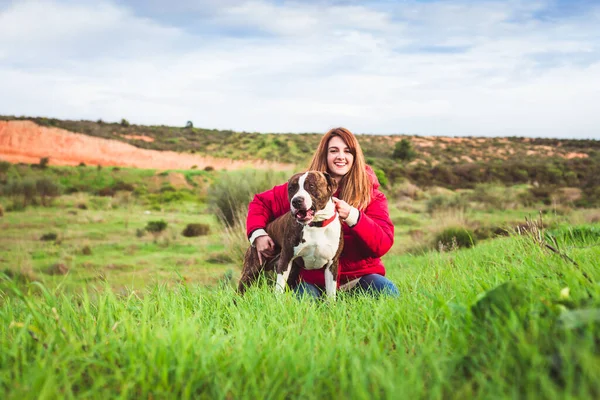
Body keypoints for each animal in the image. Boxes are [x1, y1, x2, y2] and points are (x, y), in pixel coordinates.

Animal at [238, 170, 342, 298]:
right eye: (292, 188)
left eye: (311, 186)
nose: (296, 201)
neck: (316, 224)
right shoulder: (285, 260)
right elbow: (279, 289)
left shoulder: (332, 265)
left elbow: (331, 294)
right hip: (251, 269)